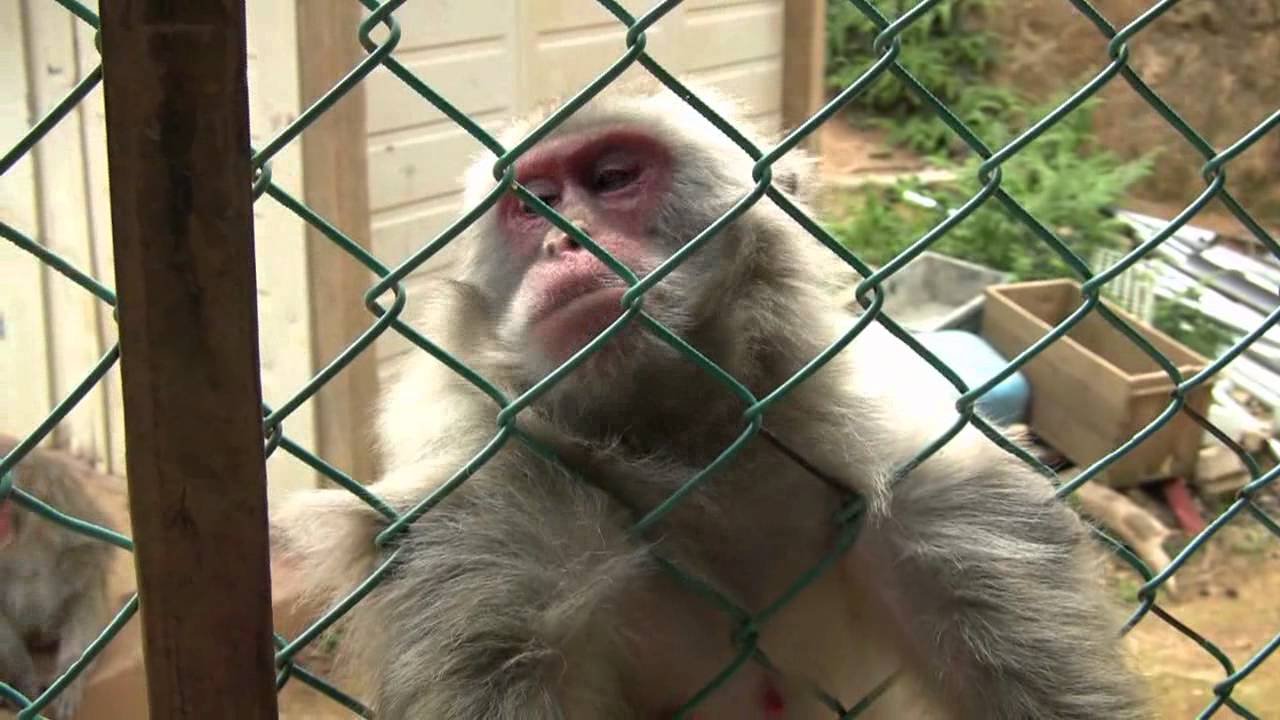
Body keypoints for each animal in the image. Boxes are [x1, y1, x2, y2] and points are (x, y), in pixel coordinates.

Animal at [270, 74, 1147, 719]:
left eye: (612, 178)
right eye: (534, 203)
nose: (561, 242)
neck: (684, 445)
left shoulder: (916, 471)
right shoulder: (491, 519)